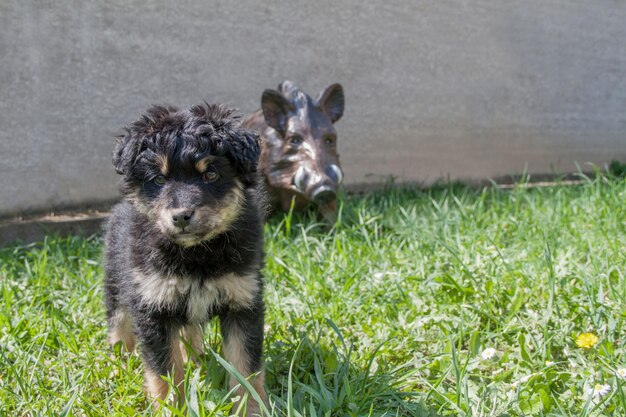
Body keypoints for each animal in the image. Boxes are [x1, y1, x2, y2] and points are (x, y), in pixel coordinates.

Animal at [103, 101, 264, 412]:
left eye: (210, 174)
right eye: (158, 179)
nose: (180, 216)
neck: (195, 254)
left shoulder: (243, 301)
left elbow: (245, 368)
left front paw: (250, 409)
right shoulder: (152, 306)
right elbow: (163, 371)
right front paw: (171, 408)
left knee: (190, 334)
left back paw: (197, 361)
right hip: (117, 285)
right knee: (119, 327)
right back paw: (119, 366)